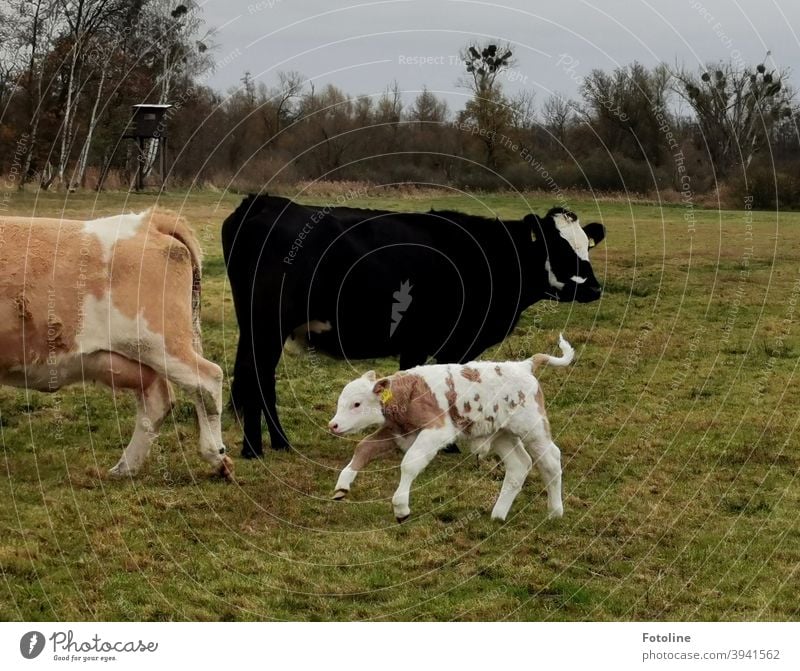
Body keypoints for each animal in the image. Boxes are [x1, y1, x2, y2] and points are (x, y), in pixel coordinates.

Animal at [1, 209, 234, 478]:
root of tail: (147, 221)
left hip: (161, 343)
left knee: (208, 379)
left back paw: (216, 456)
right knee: (157, 401)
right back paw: (125, 468)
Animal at [222, 194, 604, 456]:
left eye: (586, 246)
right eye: (559, 248)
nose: (595, 288)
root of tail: (265, 202)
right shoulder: (453, 342)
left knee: (260, 379)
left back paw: (278, 443)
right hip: (265, 326)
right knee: (257, 376)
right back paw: (254, 449)